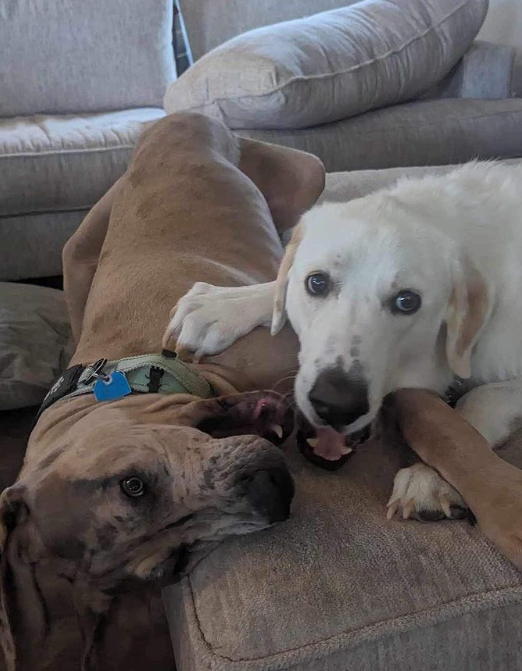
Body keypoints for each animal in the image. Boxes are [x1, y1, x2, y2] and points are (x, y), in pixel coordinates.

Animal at [0, 113, 325, 671]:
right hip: (78, 254)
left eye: (132, 484)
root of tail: (173, 118)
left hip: (307, 173)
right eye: (176, 563)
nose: (273, 493)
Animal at [167, 161, 522, 521]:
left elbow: (478, 401)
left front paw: (431, 476)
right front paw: (224, 304)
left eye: (407, 301)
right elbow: (280, 284)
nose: (335, 405)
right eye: (317, 282)